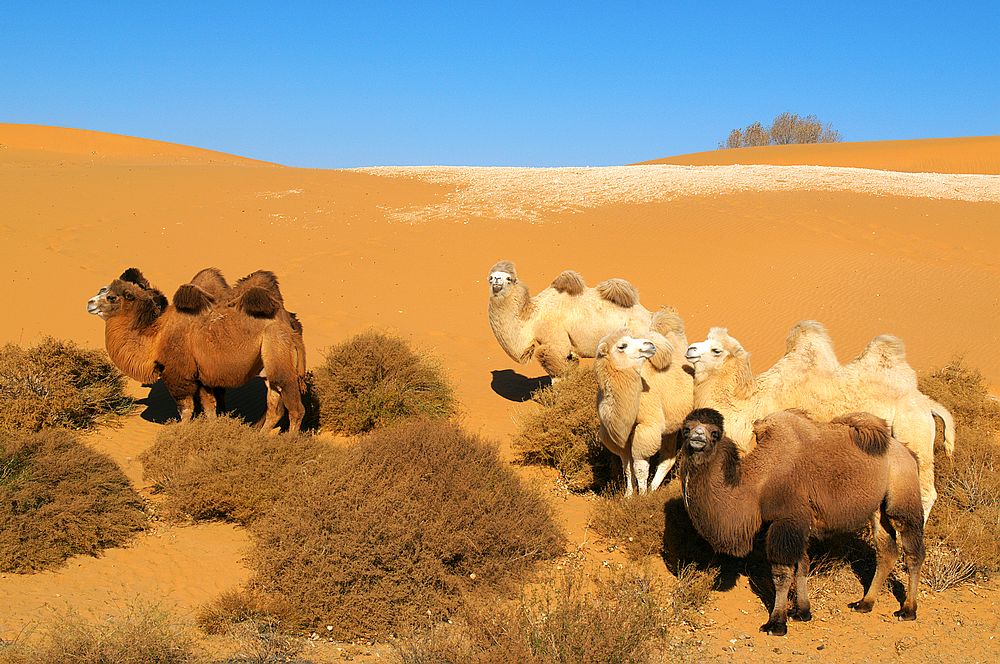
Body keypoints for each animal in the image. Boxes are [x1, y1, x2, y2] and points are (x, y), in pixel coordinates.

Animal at [86, 268, 304, 434]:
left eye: (111, 297)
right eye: (101, 289)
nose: (89, 303)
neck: (155, 338)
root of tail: (290, 322)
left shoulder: (178, 375)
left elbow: (185, 410)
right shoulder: (201, 377)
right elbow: (209, 408)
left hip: (278, 351)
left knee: (295, 409)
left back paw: (288, 440)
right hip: (267, 367)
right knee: (275, 407)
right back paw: (260, 437)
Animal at [488, 260, 652, 378]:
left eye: (509, 279)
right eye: (490, 277)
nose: (496, 279)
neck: (532, 317)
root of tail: (649, 316)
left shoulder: (555, 343)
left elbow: (557, 375)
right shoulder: (568, 352)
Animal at [592, 308, 696, 496]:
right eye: (622, 346)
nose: (649, 345)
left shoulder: (647, 426)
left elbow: (640, 466)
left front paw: (641, 495)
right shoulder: (620, 436)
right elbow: (627, 466)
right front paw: (628, 495)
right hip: (672, 427)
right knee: (668, 458)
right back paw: (654, 488)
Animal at [680, 408, 920, 636]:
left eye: (714, 433)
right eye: (686, 428)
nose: (697, 437)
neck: (758, 484)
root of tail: (908, 452)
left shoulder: (787, 520)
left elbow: (782, 573)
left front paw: (776, 623)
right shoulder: (798, 523)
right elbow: (802, 565)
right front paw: (802, 612)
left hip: (903, 497)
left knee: (912, 552)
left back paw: (907, 610)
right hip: (878, 509)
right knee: (886, 551)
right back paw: (864, 603)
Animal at [688, 320, 952, 520]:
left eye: (716, 350)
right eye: (705, 338)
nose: (690, 349)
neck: (752, 404)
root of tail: (926, 402)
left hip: (915, 434)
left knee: (926, 491)